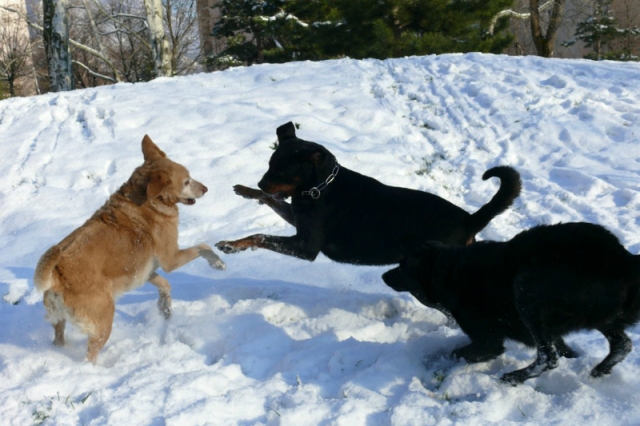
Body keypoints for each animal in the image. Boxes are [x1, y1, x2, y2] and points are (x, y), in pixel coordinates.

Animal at [35, 136, 226, 362]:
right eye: (187, 181)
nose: (205, 188)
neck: (149, 200)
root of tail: (57, 277)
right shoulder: (170, 259)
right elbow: (203, 247)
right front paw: (218, 263)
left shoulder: (143, 271)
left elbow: (164, 284)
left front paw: (165, 306)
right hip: (103, 322)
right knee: (90, 356)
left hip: (59, 320)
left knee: (59, 337)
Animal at [215, 121, 520, 264]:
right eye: (270, 165)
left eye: (282, 171)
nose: (260, 183)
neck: (319, 189)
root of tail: (469, 220)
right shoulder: (297, 216)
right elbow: (270, 202)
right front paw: (244, 191)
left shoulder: (306, 246)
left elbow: (260, 236)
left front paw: (231, 244)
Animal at [382, 221, 640, 384]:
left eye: (402, 267)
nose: (383, 275)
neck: (446, 270)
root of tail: (624, 259)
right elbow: (564, 345)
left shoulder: (488, 340)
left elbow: (458, 353)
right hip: (601, 316)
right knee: (623, 344)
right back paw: (600, 370)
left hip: (526, 290)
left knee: (547, 358)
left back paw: (514, 377)